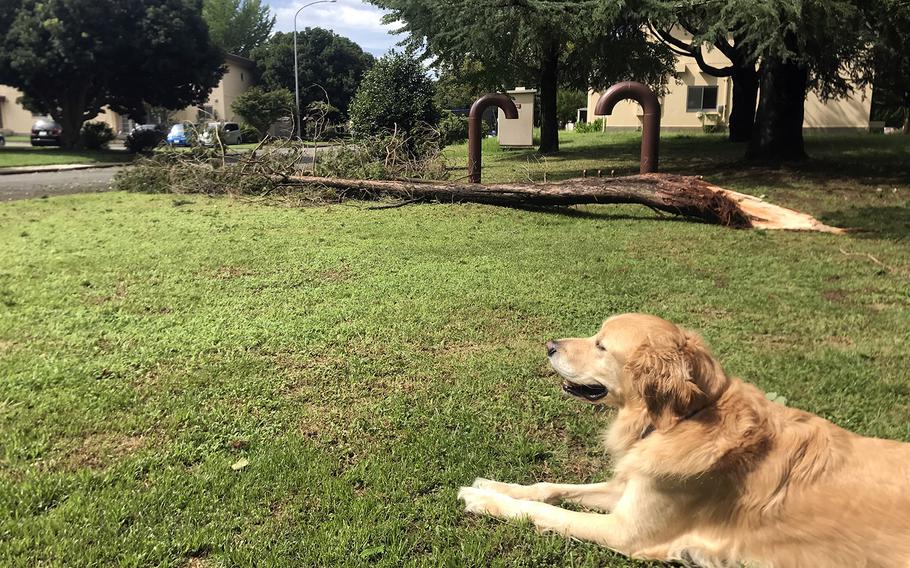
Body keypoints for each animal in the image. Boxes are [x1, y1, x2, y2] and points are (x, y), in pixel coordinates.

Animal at [460, 312, 910, 564]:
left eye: (601, 345)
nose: (549, 345)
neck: (682, 419)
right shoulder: (633, 487)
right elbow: (548, 488)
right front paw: (494, 485)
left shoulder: (626, 531)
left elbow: (543, 511)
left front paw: (484, 500)